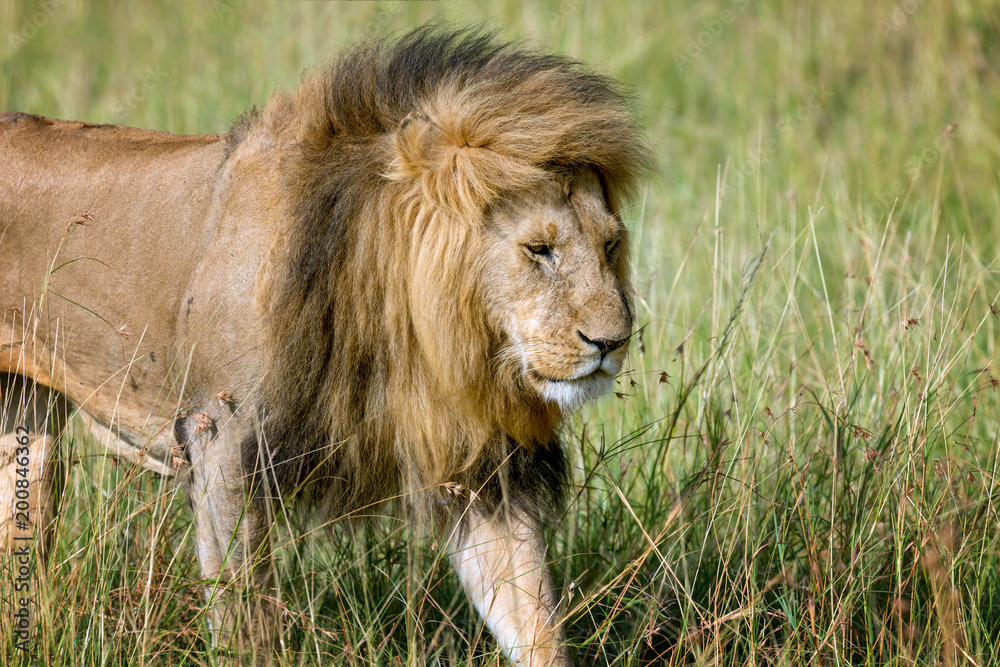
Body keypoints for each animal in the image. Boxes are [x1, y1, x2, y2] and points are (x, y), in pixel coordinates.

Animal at [0, 27, 648, 665]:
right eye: (538, 250)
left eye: (611, 246)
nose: (613, 342)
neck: (395, 322)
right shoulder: (220, 441)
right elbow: (247, 626)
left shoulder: (484, 468)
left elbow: (534, 620)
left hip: (27, 422)